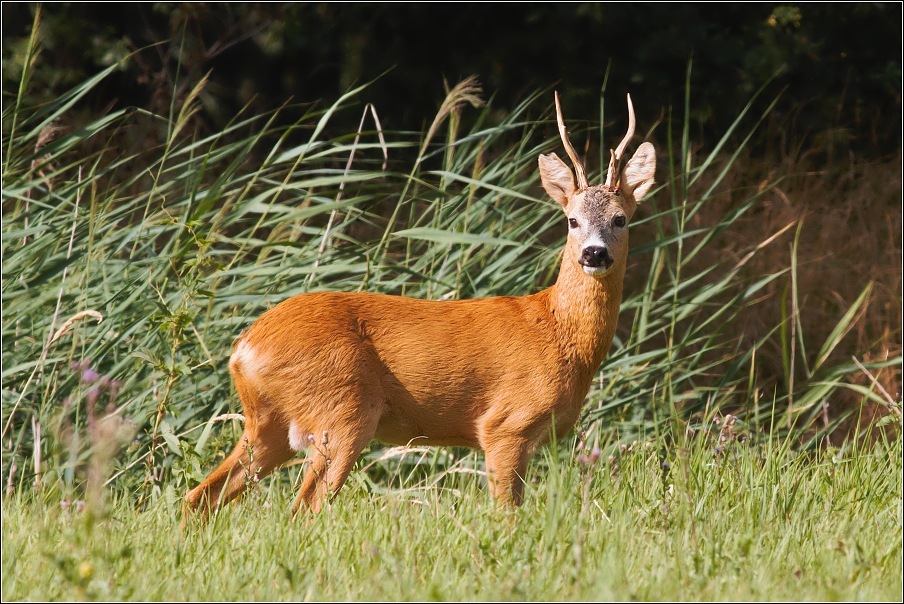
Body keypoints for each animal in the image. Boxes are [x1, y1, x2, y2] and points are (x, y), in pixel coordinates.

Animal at [185, 92, 656, 516]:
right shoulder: (506, 426)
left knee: (201, 495)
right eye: (572, 220)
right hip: (343, 408)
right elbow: (509, 514)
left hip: (270, 423)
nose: (593, 253)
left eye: (620, 219)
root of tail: (244, 350)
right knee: (304, 506)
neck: (558, 332)